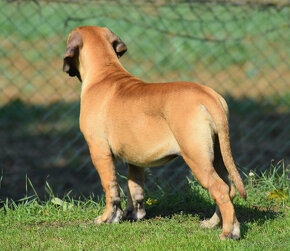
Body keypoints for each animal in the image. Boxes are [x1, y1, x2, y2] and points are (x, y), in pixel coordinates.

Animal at [62, 25, 246, 239]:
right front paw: (133, 214)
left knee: (220, 189)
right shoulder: (135, 158)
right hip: (217, 155)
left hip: (196, 157)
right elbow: (134, 187)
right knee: (228, 188)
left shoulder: (99, 152)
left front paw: (107, 218)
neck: (105, 71)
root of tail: (208, 97)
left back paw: (228, 232)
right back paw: (215, 223)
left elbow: (111, 188)